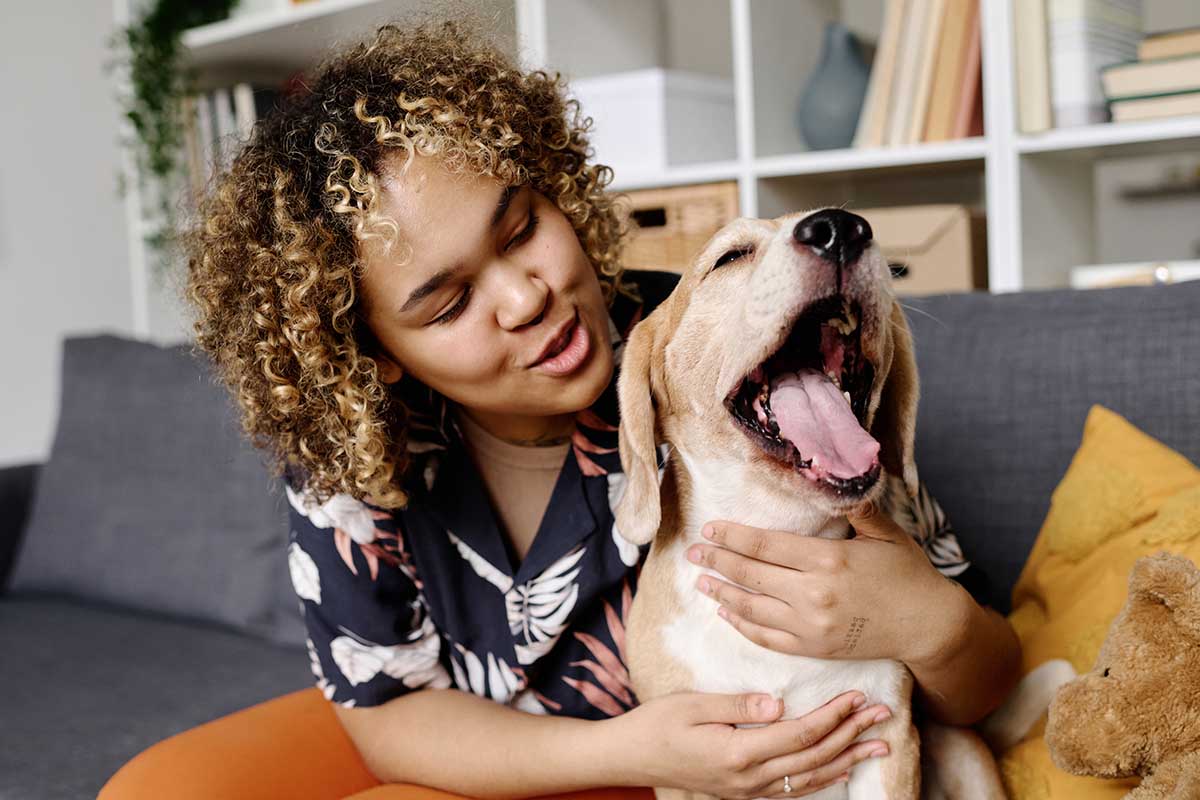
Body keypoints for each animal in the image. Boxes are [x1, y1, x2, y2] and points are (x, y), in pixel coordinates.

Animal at [614, 211, 1017, 800]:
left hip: (962, 750)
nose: (839, 228)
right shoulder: (684, 772)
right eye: (729, 257)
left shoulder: (887, 734)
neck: (783, 529)